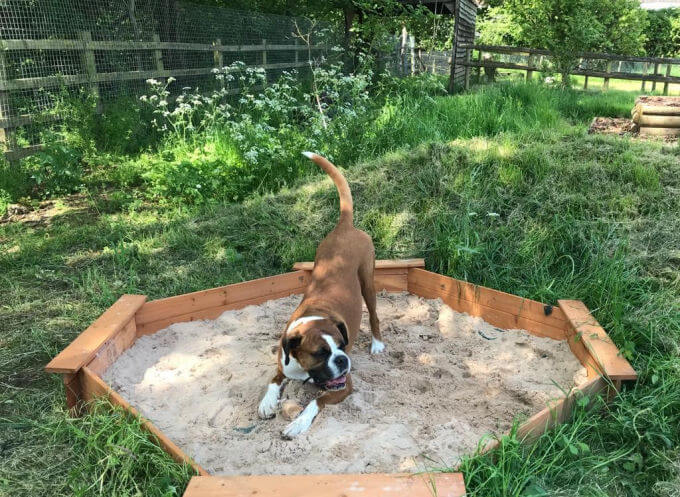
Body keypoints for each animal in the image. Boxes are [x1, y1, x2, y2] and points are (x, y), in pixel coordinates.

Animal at [258, 152, 386, 438]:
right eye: (320, 352)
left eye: (342, 345)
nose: (342, 359)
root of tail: (344, 227)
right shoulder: (282, 366)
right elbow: (272, 381)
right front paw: (267, 402)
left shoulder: (344, 386)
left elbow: (314, 402)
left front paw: (297, 423)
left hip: (368, 282)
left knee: (374, 316)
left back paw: (376, 344)